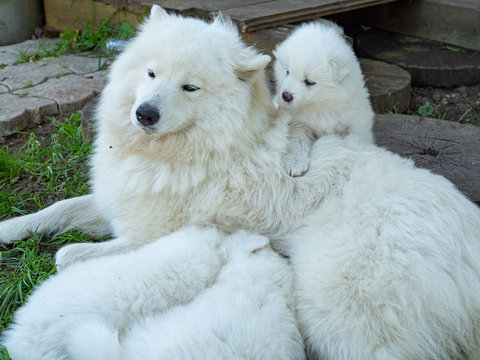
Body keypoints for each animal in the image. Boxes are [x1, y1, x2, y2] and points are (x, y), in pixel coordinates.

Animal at [274, 21, 376, 176]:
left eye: (309, 82)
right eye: (287, 72)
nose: (285, 96)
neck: (321, 105)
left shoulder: (357, 122)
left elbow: (357, 140)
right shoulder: (298, 122)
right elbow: (297, 141)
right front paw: (295, 162)